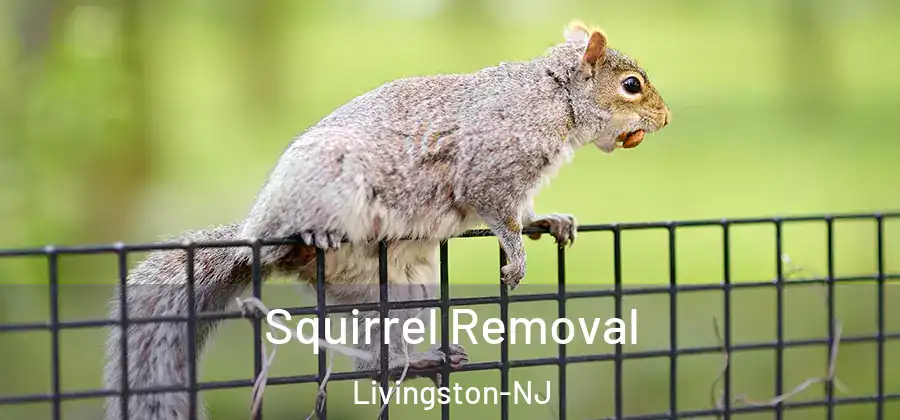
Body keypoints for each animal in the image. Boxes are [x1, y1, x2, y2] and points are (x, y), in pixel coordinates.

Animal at [102, 20, 670, 420]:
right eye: (631, 85)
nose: (665, 120)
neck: (554, 98)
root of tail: (252, 237)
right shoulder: (489, 167)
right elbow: (498, 214)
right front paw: (516, 257)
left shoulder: (519, 183)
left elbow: (524, 212)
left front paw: (549, 222)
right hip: (325, 187)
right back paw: (309, 238)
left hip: (400, 291)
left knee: (374, 363)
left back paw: (415, 361)